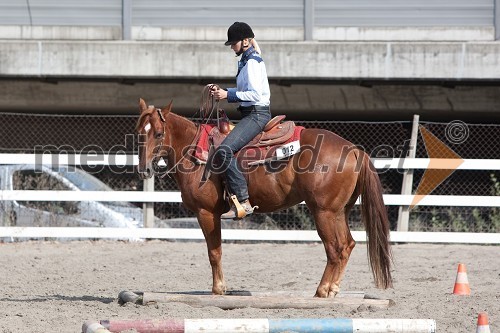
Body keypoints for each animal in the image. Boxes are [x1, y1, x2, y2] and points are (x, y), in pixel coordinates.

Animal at [138, 98, 394, 296]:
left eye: (158, 134)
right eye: (139, 132)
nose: (144, 169)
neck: (194, 153)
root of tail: (355, 150)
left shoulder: (206, 213)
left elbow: (214, 252)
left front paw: (218, 289)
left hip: (323, 212)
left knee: (335, 248)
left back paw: (322, 291)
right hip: (340, 211)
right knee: (347, 245)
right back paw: (332, 289)